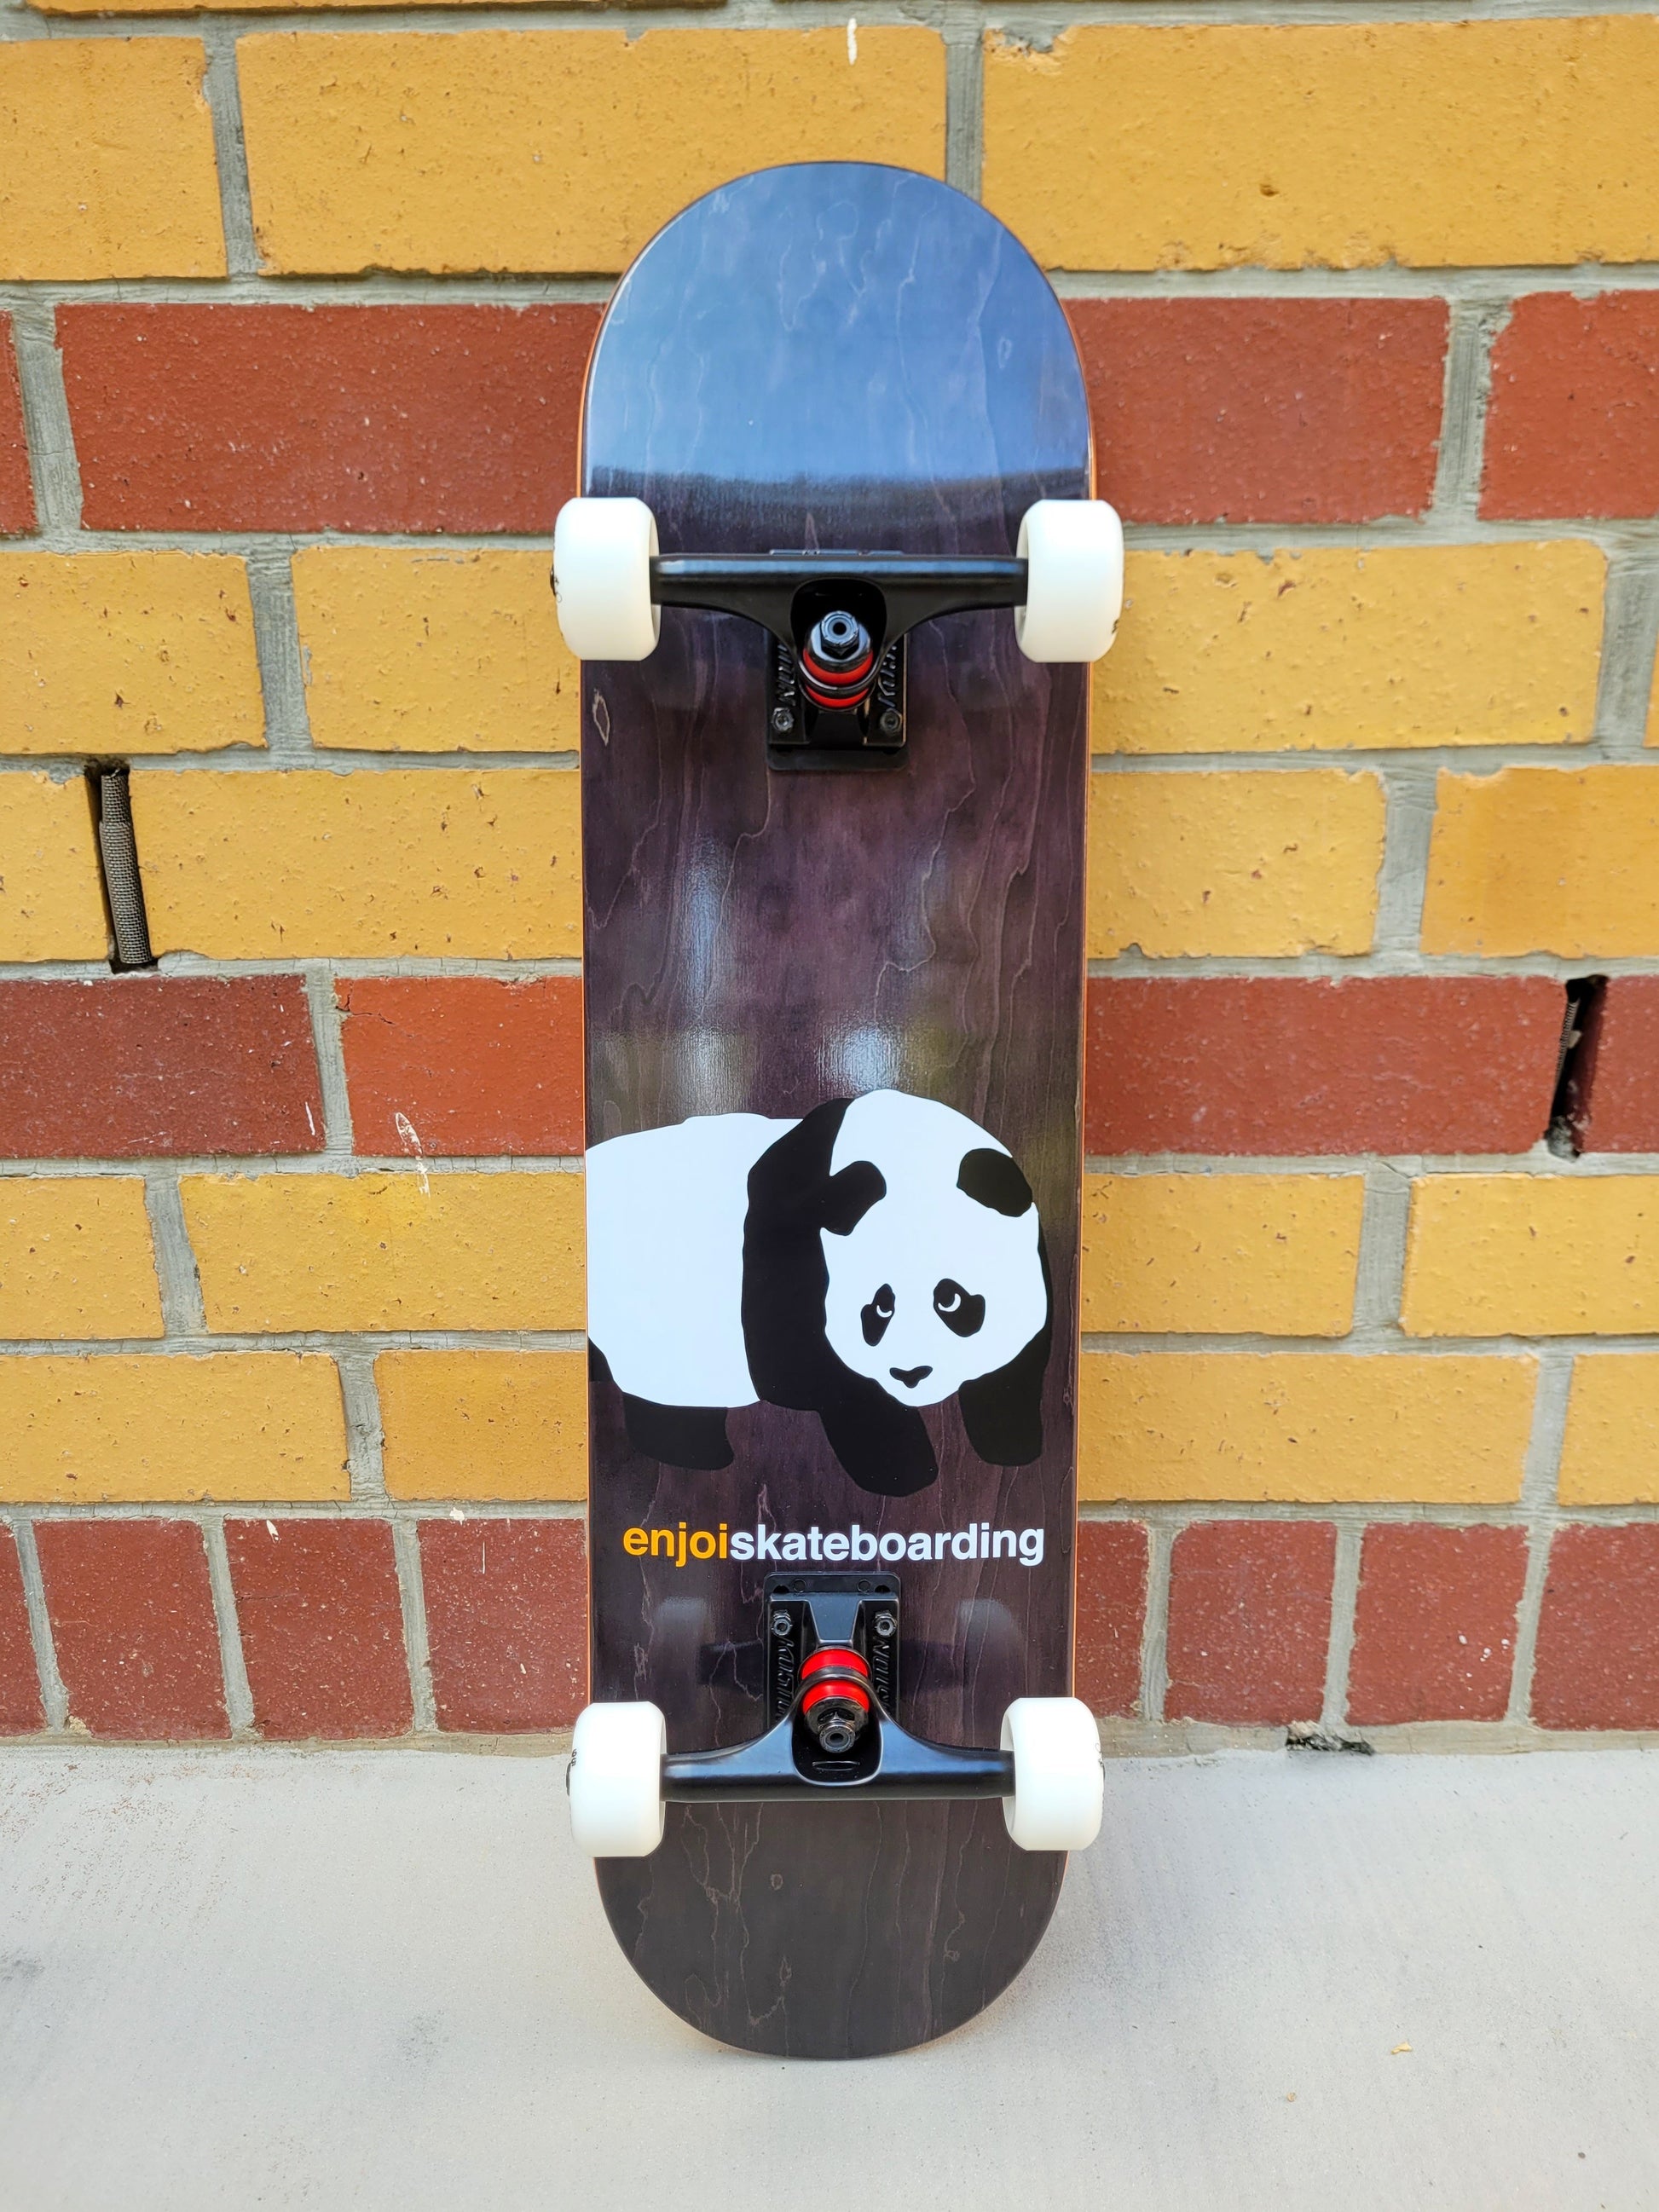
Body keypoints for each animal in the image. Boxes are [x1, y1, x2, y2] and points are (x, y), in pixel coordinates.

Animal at [585, 1089, 1051, 1497]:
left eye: (949, 1299)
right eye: (880, 1307)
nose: (911, 1374)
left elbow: (1016, 1367)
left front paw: (1012, 1444)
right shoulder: (793, 1258)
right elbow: (825, 1380)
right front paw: (904, 1472)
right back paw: (701, 1455)